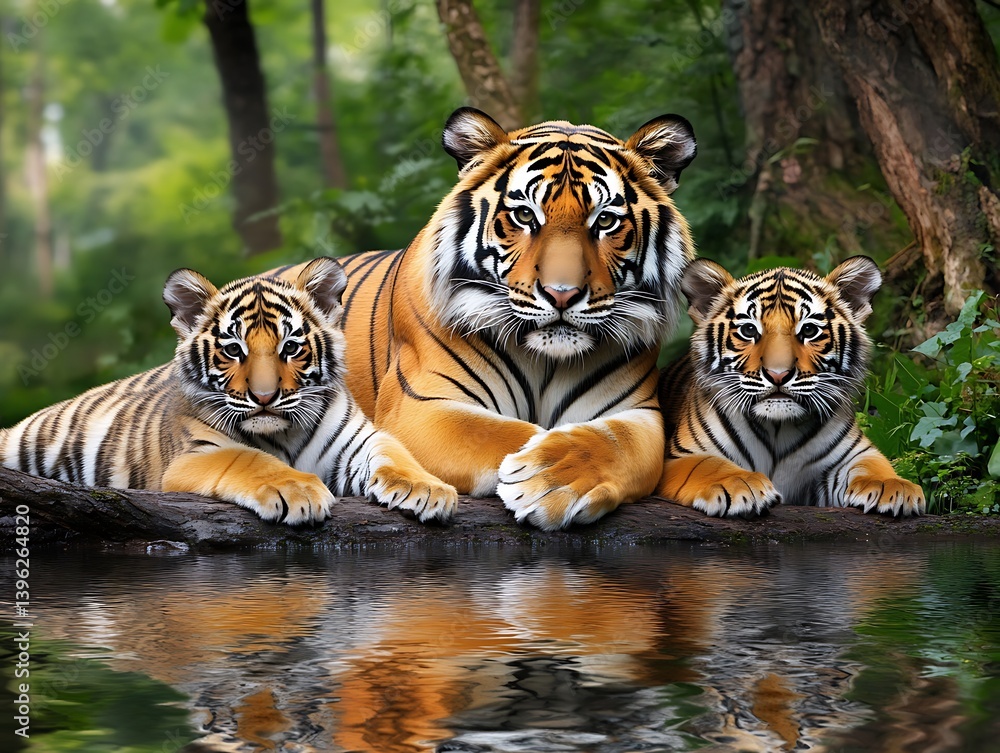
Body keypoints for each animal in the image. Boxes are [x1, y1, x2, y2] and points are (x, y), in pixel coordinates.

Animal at [0, 257, 457, 525]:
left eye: (290, 347)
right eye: (233, 349)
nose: (265, 397)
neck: (283, 434)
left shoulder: (359, 440)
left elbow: (396, 454)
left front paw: (428, 490)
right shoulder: (194, 455)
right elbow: (250, 459)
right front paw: (299, 490)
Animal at [321, 107, 698, 530]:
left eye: (605, 222)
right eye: (523, 215)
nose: (562, 293)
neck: (546, 362)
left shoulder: (639, 414)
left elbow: (607, 442)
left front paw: (550, 477)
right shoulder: (419, 405)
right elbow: (498, 432)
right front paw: (539, 474)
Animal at [656, 255, 926, 517]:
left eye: (809, 329)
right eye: (749, 329)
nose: (778, 374)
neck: (778, 428)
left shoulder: (854, 454)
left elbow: (872, 466)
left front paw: (894, 487)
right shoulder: (681, 457)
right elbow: (710, 465)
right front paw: (740, 485)